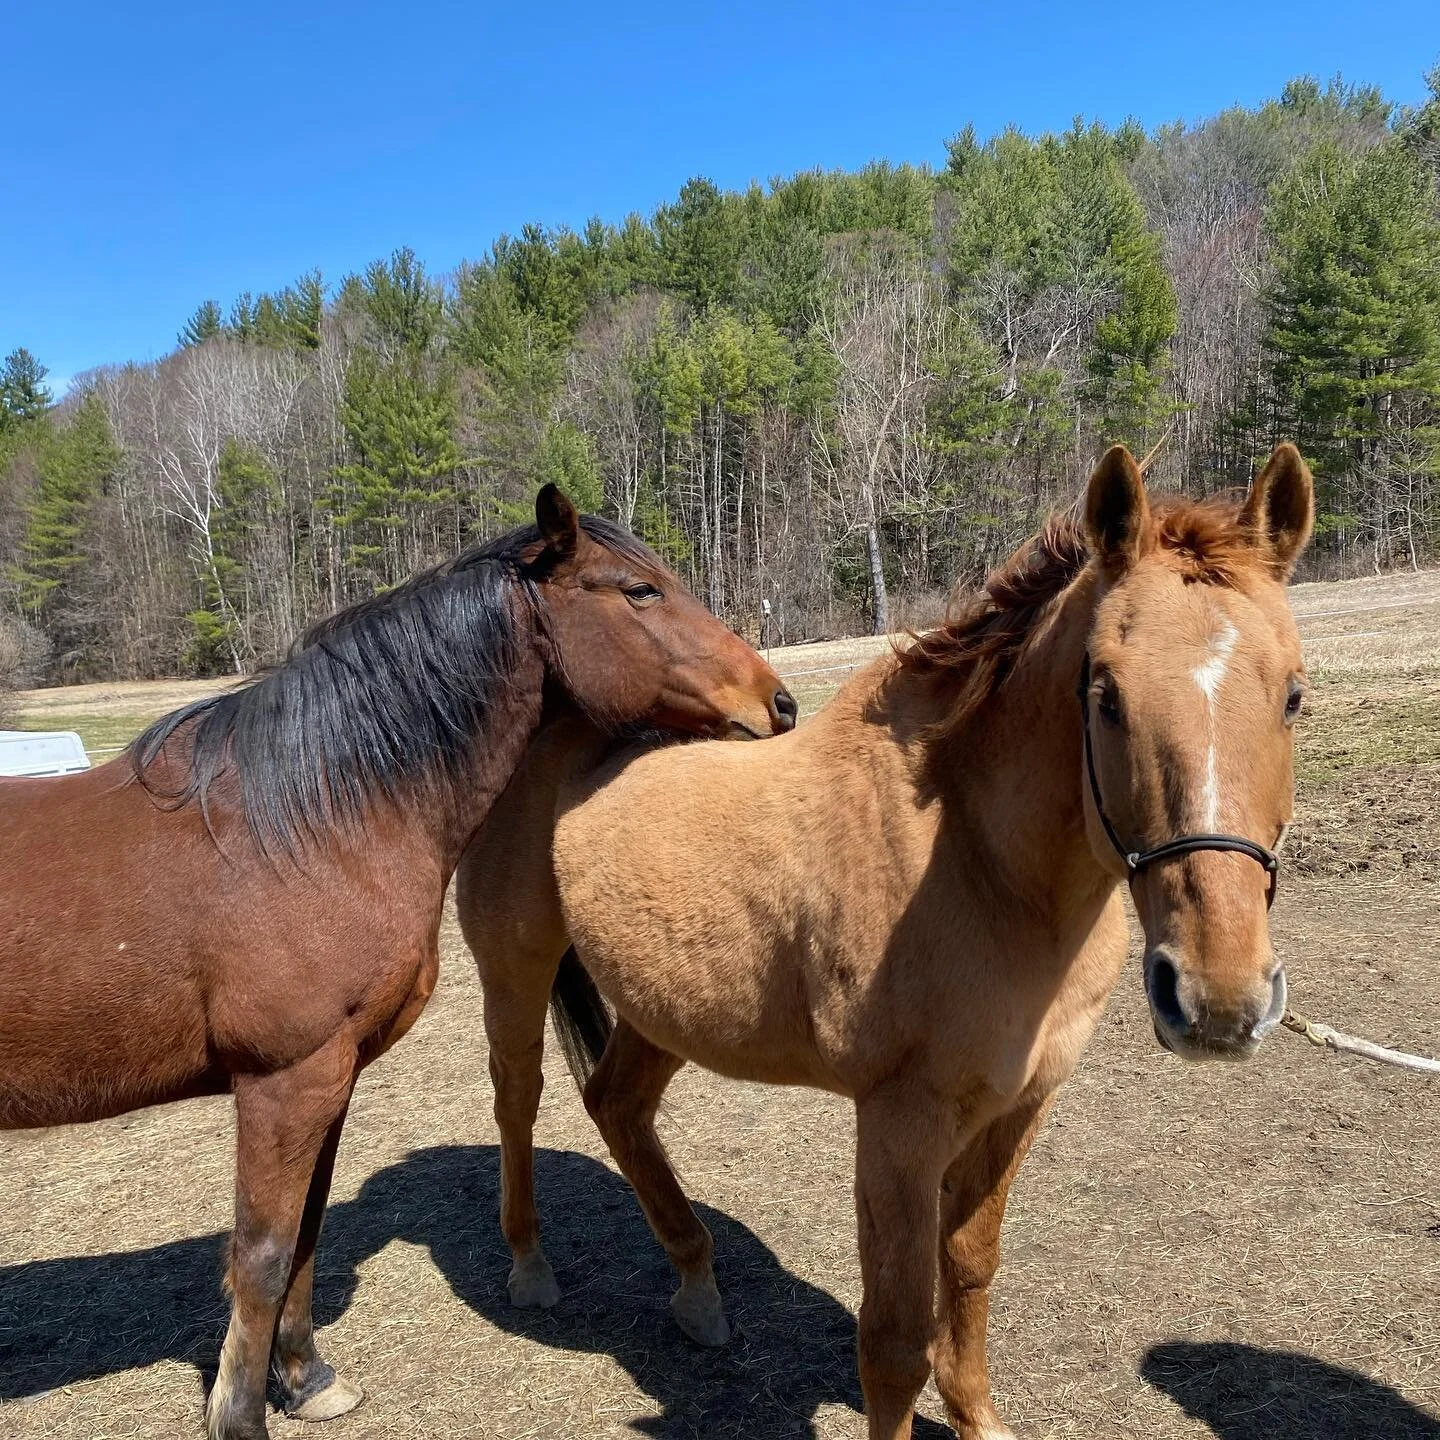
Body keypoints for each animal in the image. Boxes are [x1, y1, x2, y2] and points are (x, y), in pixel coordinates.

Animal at [0, 486, 800, 1440]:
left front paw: (306, 1380)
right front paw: (241, 1414)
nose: (779, 704)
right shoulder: (282, 1082)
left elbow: (306, 1237)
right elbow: (262, 1253)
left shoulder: (330, 1076)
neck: (302, 823)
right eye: (639, 590)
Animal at [460, 446, 1319, 1440]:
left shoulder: (1021, 1105)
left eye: (1294, 694)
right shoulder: (901, 1123)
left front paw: (978, 1417)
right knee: (518, 1099)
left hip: (659, 1010)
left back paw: (698, 1288)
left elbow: (971, 1268)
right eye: (1104, 694)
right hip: (515, 974)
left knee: (617, 1106)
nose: (1220, 1000)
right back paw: (530, 1267)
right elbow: (895, 1335)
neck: (980, 867)